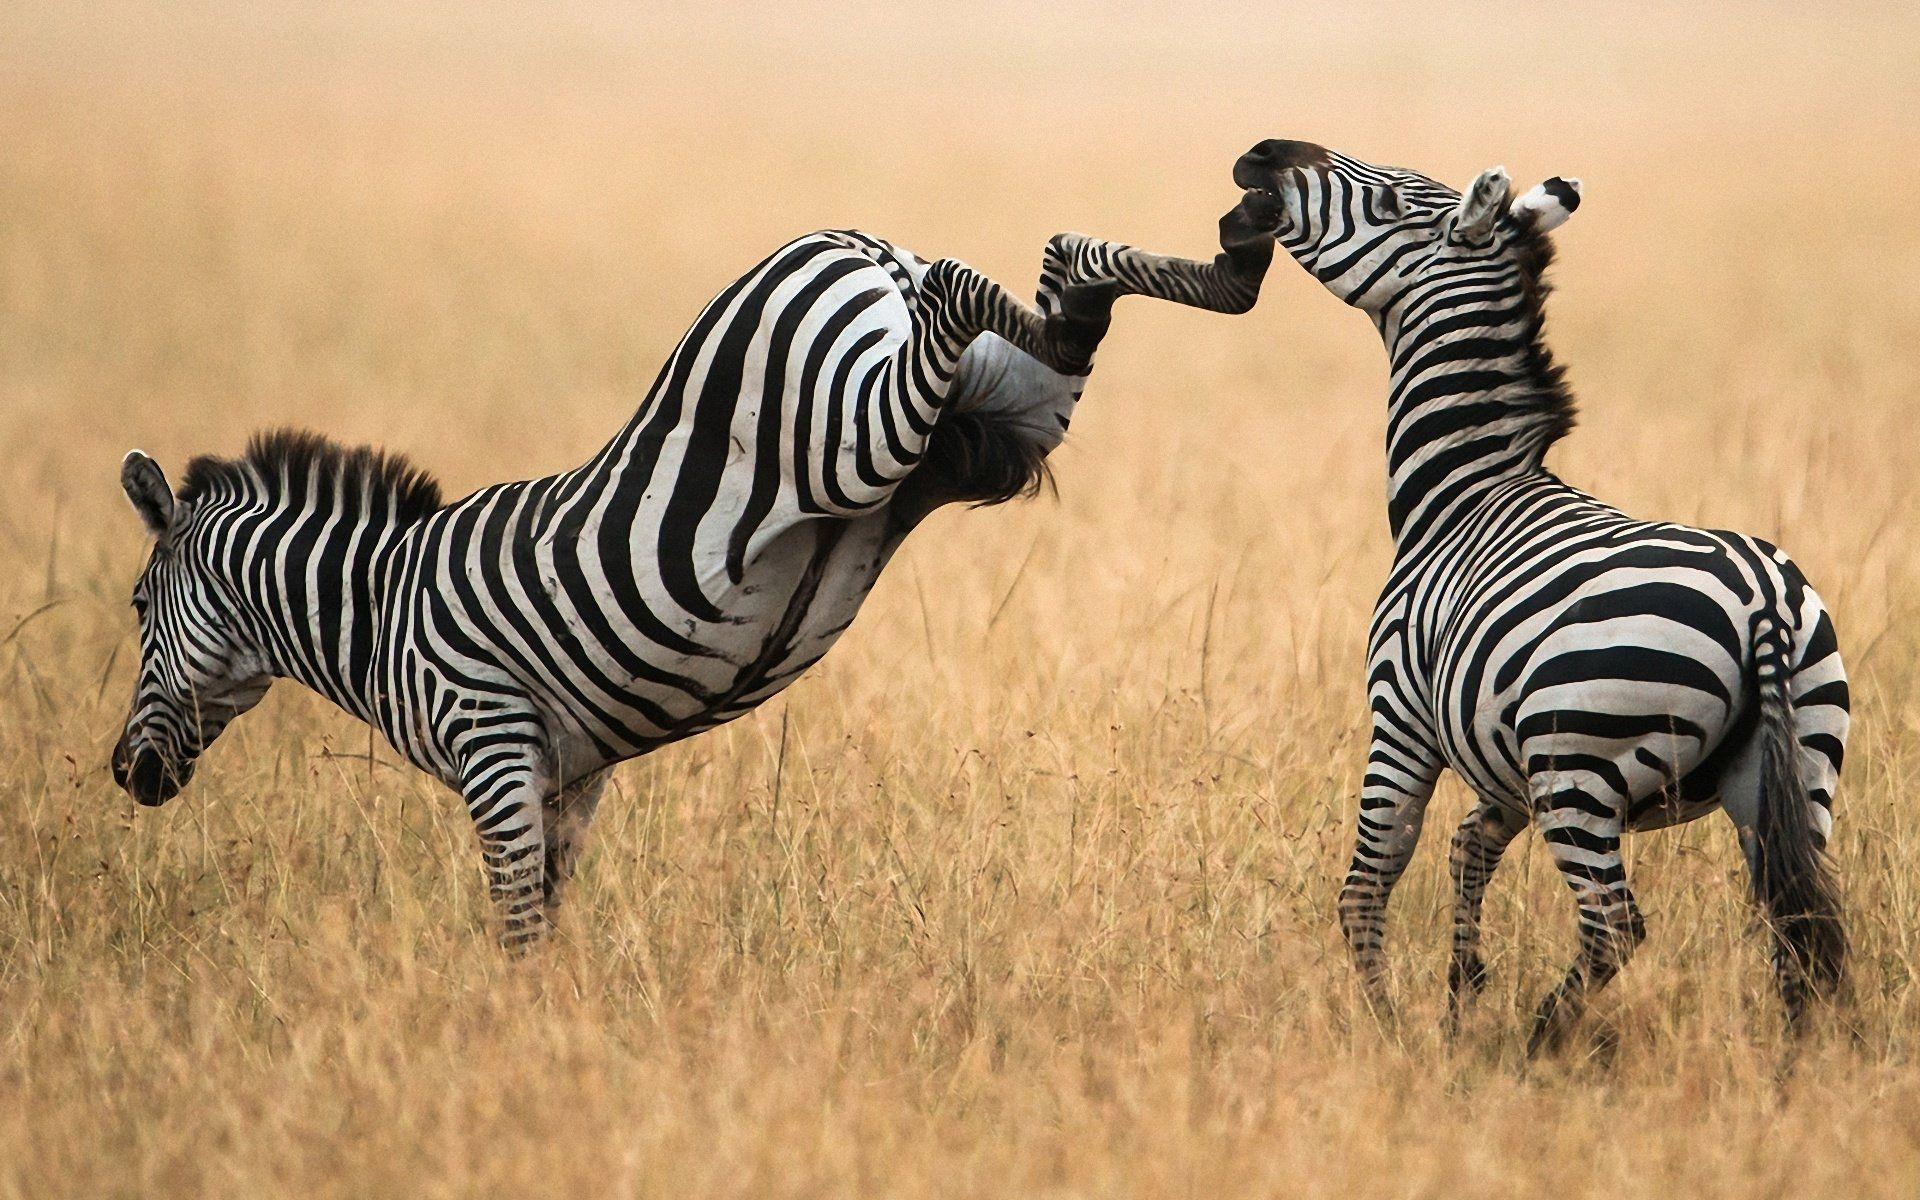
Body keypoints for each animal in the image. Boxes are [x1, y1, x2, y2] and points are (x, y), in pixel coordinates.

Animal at [111, 200, 1282, 950]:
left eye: (132, 608)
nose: (125, 775)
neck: (377, 608)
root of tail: (855, 243)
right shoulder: (568, 778)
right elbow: (547, 925)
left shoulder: (491, 745)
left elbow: (514, 928)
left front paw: (511, 1046)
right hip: (1008, 414)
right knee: (1069, 281)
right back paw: (1231, 262)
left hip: (852, 430)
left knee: (966, 288)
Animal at [1231, 139, 1848, 1048]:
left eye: (1386, 204)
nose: (1262, 155)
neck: (1462, 493)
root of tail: (1760, 599)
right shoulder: (1500, 763)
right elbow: (1468, 852)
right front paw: (1459, 997)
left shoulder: (1403, 716)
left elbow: (1371, 881)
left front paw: (1390, 1027)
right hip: (1796, 765)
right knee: (1798, 922)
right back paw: (1792, 1064)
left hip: (1578, 764)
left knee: (1615, 925)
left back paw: (1539, 1040)